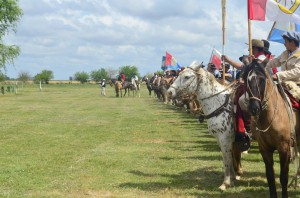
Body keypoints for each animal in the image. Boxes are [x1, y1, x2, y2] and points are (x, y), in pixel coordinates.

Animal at [168, 60, 243, 190]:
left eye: (187, 77)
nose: (169, 92)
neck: (219, 104)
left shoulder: (225, 138)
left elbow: (227, 159)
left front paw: (225, 183)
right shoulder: (221, 139)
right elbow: (228, 158)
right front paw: (232, 179)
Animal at [243, 59, 298, 198]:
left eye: (262, 79)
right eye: (245, 79)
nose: (254, 108)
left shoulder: (284, 148)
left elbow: (283, 177)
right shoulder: (264, 148)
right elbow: (270, 176)